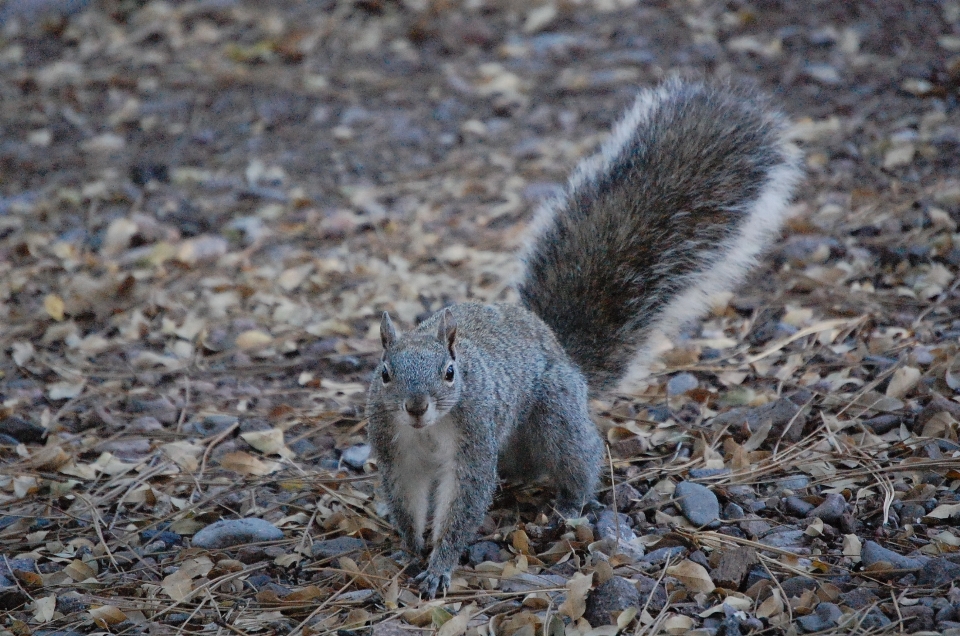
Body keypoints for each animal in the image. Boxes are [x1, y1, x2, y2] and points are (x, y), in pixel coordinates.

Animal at [368, 78, 804, 596]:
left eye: (451, 372)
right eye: (385, 373)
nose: (416, 407)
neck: (428, 431)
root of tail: (562, 352)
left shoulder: (472, 443)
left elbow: (464, 505)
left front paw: (440, 565)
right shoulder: (397, 453)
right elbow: (406, 500)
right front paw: (409, 547)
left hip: (554, 415)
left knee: (580, 457)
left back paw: (570, 504)